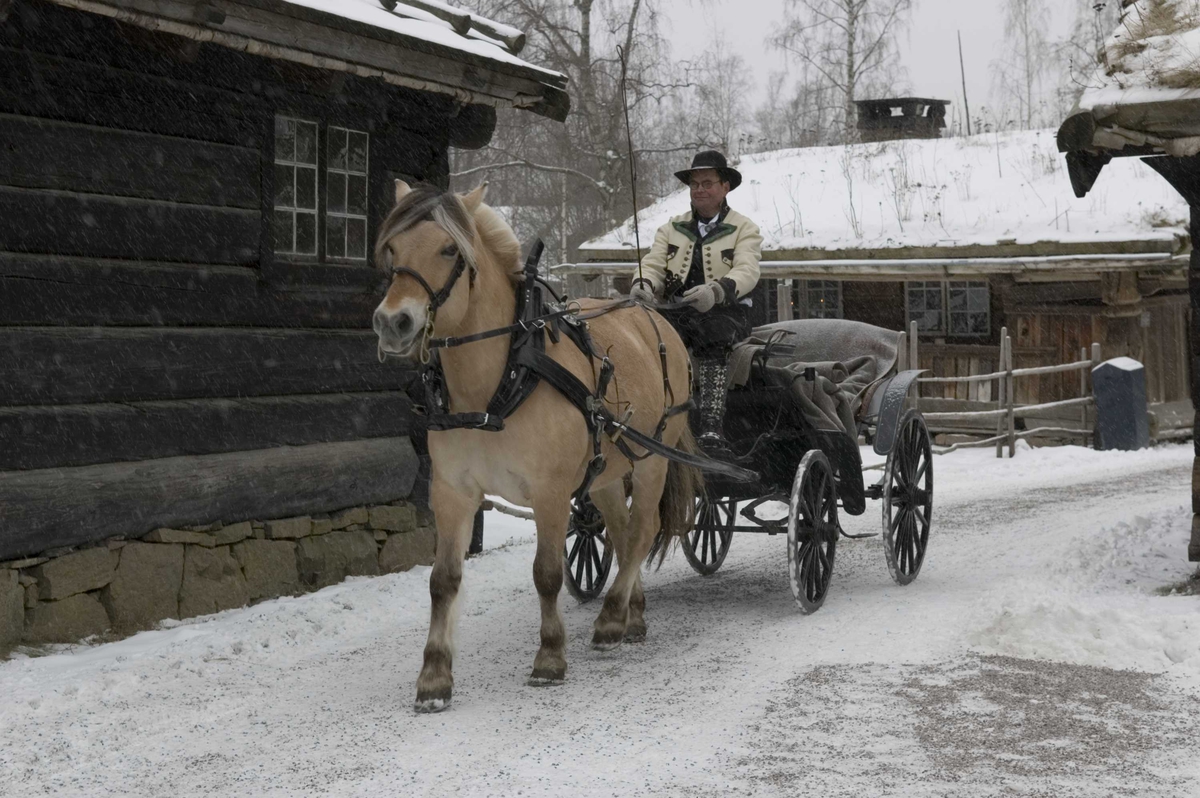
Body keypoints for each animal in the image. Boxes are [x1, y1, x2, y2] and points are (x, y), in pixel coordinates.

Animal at [369, 180, 700, 710]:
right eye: (393, 250)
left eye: (448, 250)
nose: (392, 323)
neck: (498, 384)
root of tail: (651, 314)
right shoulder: (452, 493)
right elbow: (443, 581)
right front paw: (434, 677)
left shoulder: (550, 493)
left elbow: (546, 573)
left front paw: (549, 657)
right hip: (606, 471)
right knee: (623, 530)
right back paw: (633, 613)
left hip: (653, 458)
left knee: (642, 531)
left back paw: (611, 618)